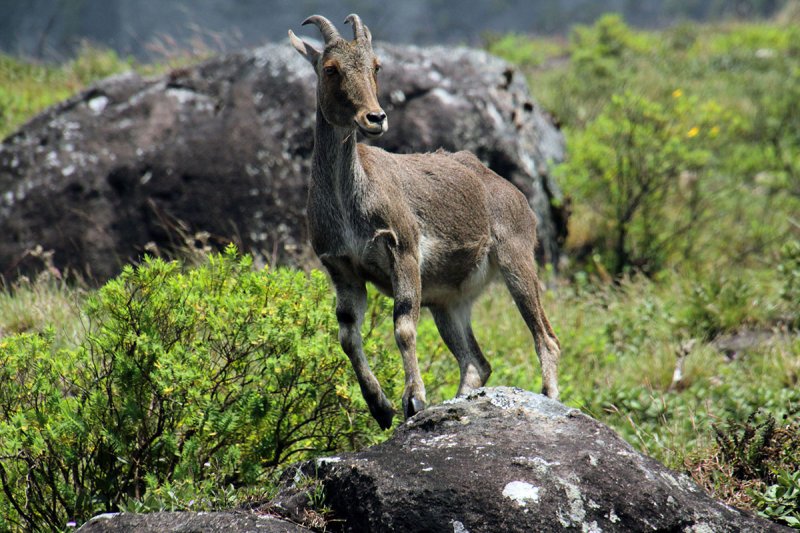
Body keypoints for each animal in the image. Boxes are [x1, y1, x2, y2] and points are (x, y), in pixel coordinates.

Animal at [290, 13, 560, 428]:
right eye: (331, 68)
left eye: (376, 66)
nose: (375, 118)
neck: (348, 198)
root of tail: (518, 198)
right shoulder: (342, 268)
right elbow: (347, 334)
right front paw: (380, 407)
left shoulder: (402, 248)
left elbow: (403, 326)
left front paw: (413, 399)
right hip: (448, 300)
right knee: (476, 361)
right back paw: (461, 402)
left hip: (517, 260)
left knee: (545, 337)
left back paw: (549, 397)